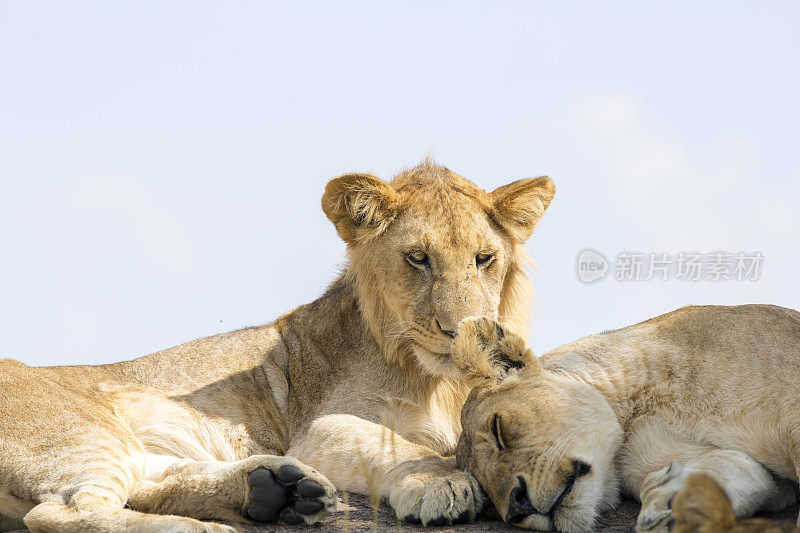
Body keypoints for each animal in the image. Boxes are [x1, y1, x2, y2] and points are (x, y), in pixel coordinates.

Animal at [0, 159, 556, 532]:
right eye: (418, 258)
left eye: (484, 258)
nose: (463, 330)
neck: (439, 381)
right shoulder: (318, 427)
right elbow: (399, 444)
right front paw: (439, 482)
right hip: (79, 432)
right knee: (62, 512)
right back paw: (219, 524)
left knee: (148, 482)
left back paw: (275, 489)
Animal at [454, 306, 796, 528]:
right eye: (487, 501)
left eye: (498, 429)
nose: (516, 507)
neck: (638, 407)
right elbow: (734, 467)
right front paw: (673, 503)